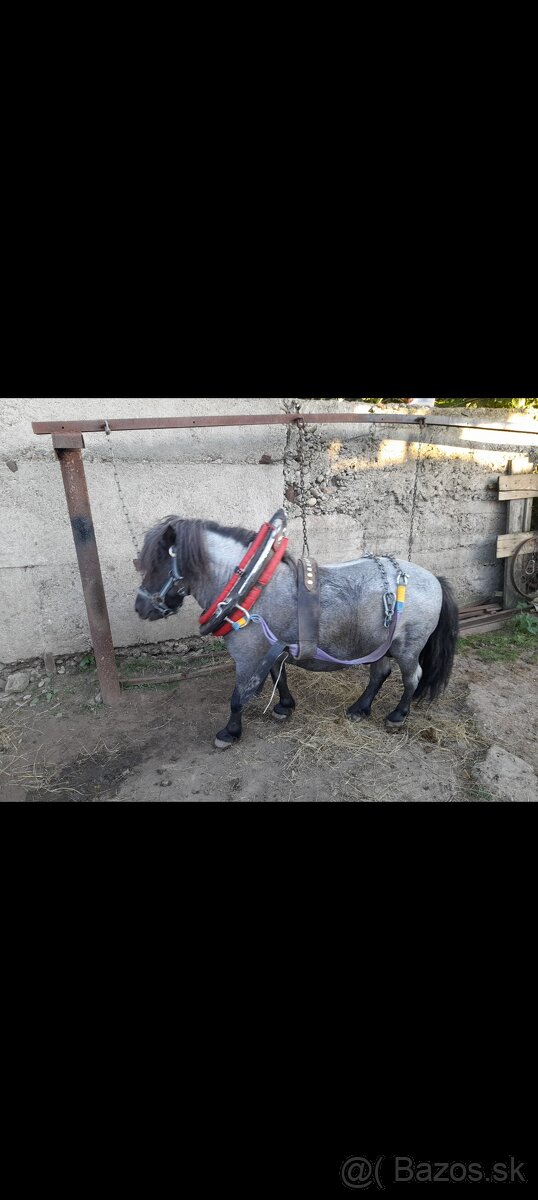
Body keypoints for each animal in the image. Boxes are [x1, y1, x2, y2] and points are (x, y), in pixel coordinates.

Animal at [134, 514, 459, 749]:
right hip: (377, 643)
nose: (140, 608)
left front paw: (229, 732)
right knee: (379, 673)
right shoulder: (270, 649)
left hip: (407, 647)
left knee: (412, 678)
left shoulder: (248, 656)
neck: (249, 586)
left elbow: (238, 697)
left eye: (157, 564)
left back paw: (397, 715)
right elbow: (279, 678)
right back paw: (359, 708)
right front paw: (284, 706)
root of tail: (434, 578)